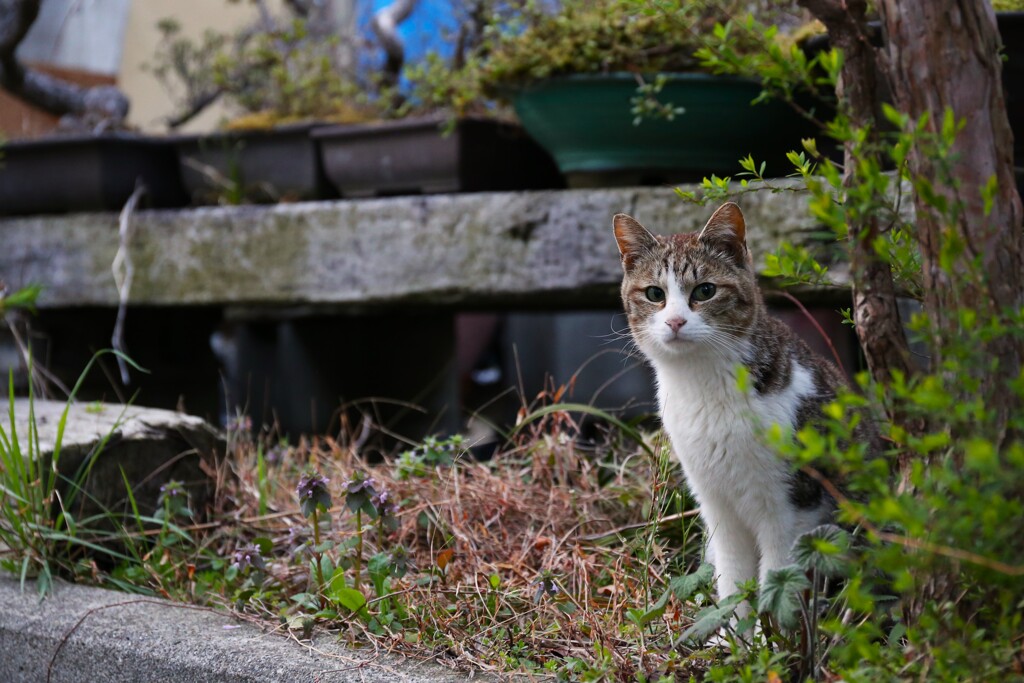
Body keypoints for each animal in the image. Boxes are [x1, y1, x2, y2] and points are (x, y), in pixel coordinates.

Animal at [614, 202, 847, 614]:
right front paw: (730, 630)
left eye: (704, 291)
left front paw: (767, 631)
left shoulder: (792, 509)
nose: (675, 321)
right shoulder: (716, 506)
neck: (705, 387)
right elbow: (732, 578)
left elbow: (777, 580)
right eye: (655, 294)